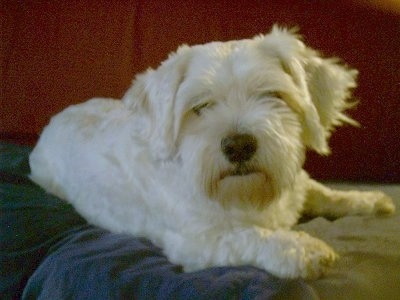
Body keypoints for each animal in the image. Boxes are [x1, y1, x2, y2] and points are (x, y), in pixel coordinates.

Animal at [28, 25, 394, 278]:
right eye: (201, 106)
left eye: (272, 95)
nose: (239, 145)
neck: (250, 196)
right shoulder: (200, 241)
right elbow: (251, 236)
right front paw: (301, 248)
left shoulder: (298, 186)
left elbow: (326, 193)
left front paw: (368, 199)